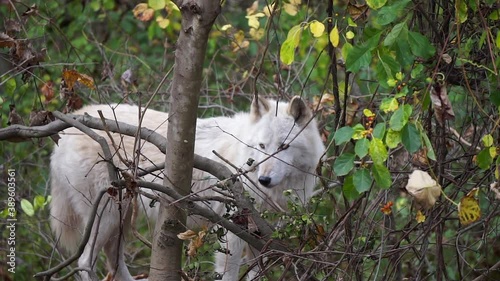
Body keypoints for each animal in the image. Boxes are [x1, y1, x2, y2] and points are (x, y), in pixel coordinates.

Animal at [49, 95, 324, 278]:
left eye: (283, 147)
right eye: (262, 146)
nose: (263, 180)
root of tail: (71, 125)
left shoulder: (262, 238)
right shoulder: (234, 234)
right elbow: (229, 273)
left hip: (121, 218)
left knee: (113, 260)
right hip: (107, 217)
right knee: (85, 261)